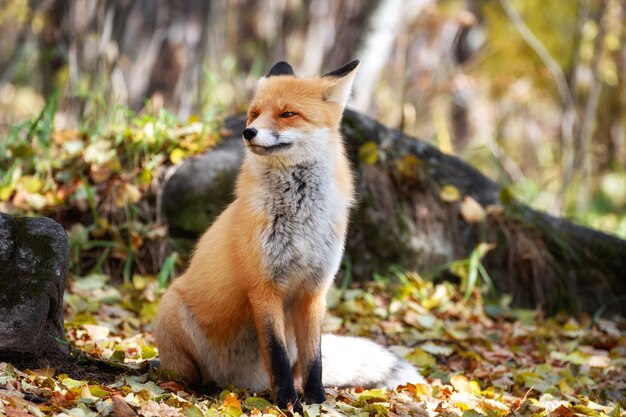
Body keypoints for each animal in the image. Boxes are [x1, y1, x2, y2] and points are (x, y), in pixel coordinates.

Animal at [154, 60, 422, 412]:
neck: (300, 218)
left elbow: (315, 360)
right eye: (254, 114)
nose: (248, 132)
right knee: (188, 376)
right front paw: (286, 403)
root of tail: (237, 381)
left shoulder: (314, 291)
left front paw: (316, 401)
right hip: (172, 310)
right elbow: (277, 355)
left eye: (287, 114)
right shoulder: (264, 288)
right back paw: (202, 388)